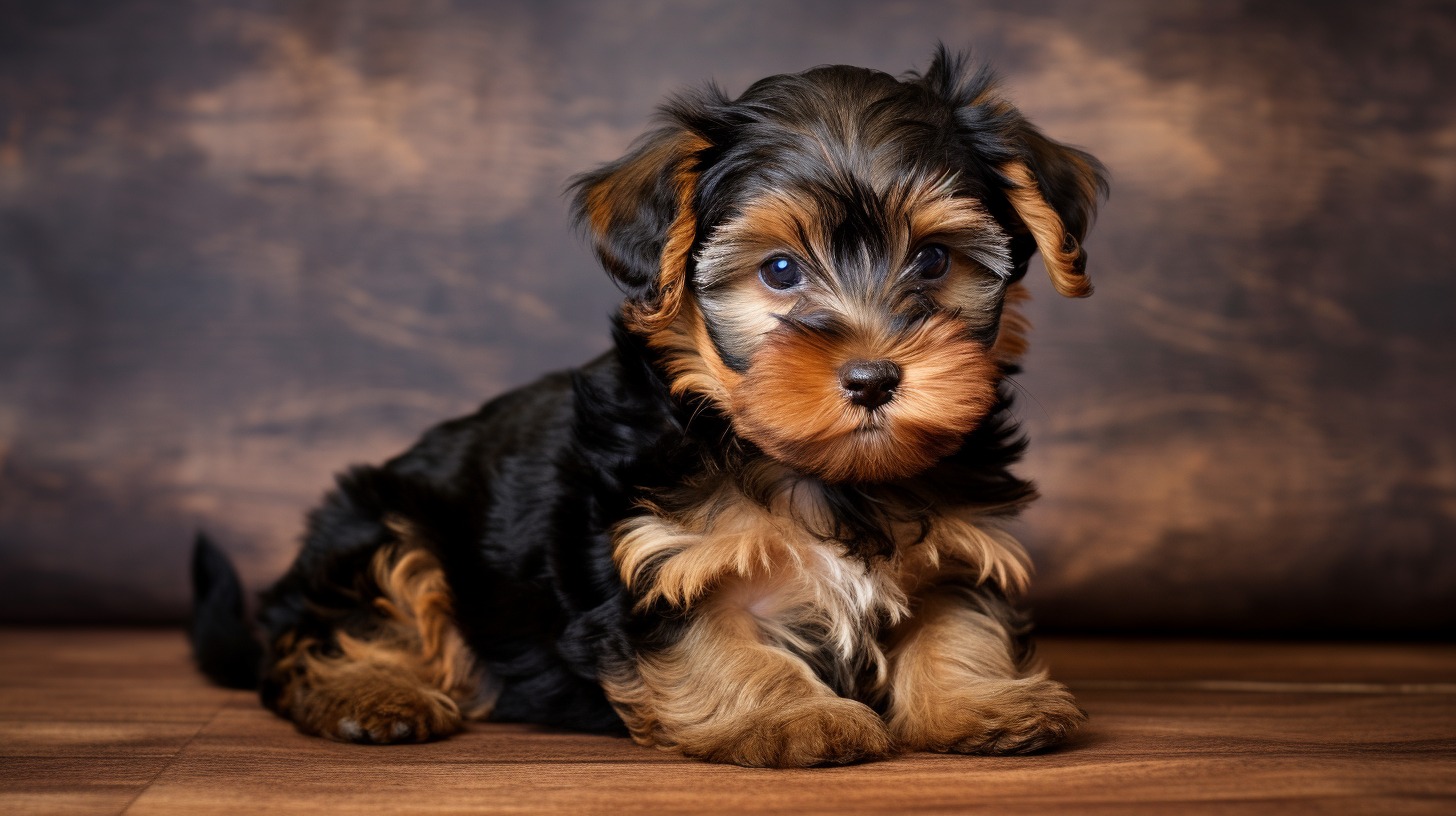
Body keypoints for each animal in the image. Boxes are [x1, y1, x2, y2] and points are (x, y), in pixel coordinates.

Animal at [190, 47, 1100, 769]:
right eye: (779, 271)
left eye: (936, 261)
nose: (874, 378)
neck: (822, 474)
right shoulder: (655, 561)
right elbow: (720, 644)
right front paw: (792, 716)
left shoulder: (963, 542)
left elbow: (958, 620)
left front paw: (985, 704)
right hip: (379, 521)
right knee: (337, 625)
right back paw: (374, 695)